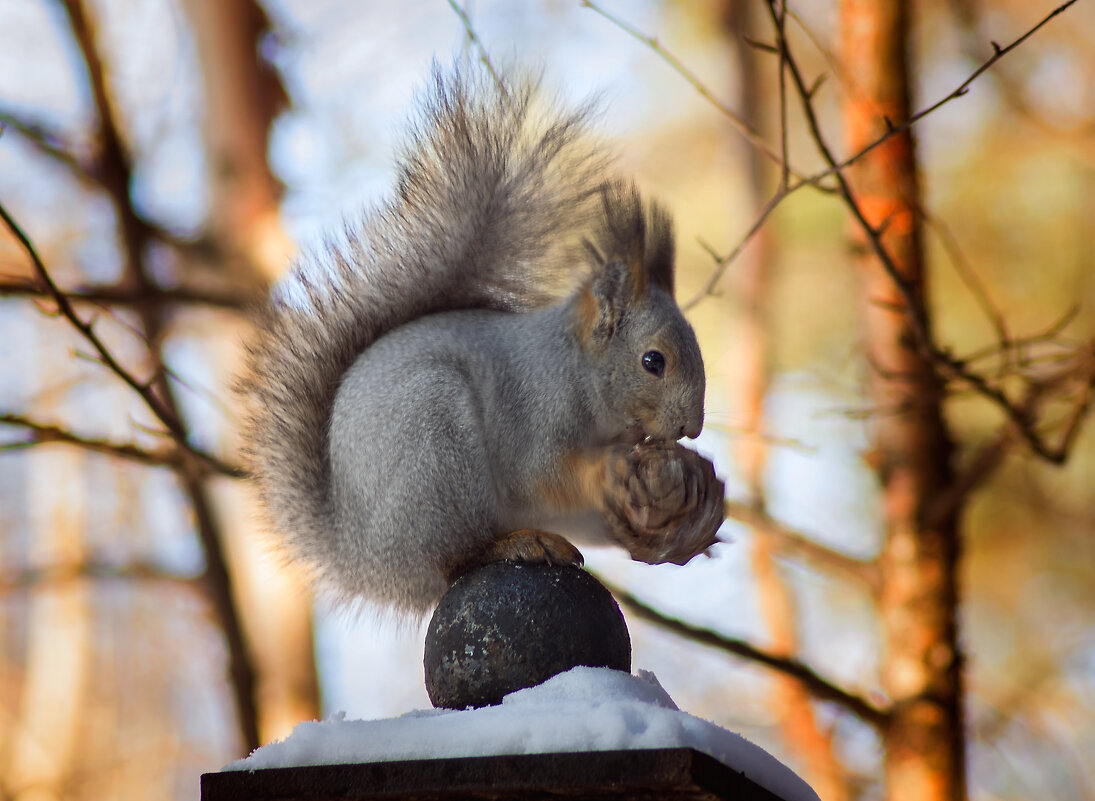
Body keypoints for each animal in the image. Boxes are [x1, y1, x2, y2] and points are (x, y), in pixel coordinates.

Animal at [244, 65, 731, 612]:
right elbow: (543, 474)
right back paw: (517, 542)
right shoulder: (535, 413)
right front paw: (607, 470)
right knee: (453, 558)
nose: (691, 428)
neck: (579, 375)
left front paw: (682, 526)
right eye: (653, 361)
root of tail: (363, 560)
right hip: (435, 443)